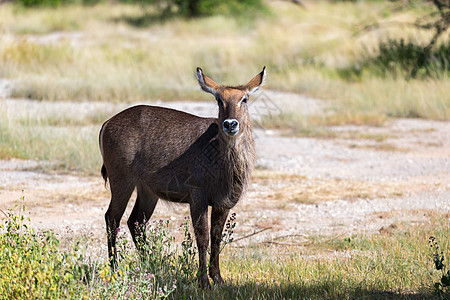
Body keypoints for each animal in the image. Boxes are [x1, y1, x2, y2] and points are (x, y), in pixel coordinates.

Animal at [99, 66, 264, 288]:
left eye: (244, 99)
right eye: (218, 99)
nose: (230, 124)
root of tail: (107, 123)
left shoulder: (224, 203)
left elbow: (217, 238)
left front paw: (218, 279)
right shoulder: (198, 196)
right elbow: (202, 237)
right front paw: (203, 281)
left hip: (147, 190)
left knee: (136, 222)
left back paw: (150, 266)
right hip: (121, 180)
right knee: (112, 219)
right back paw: (115, 270)